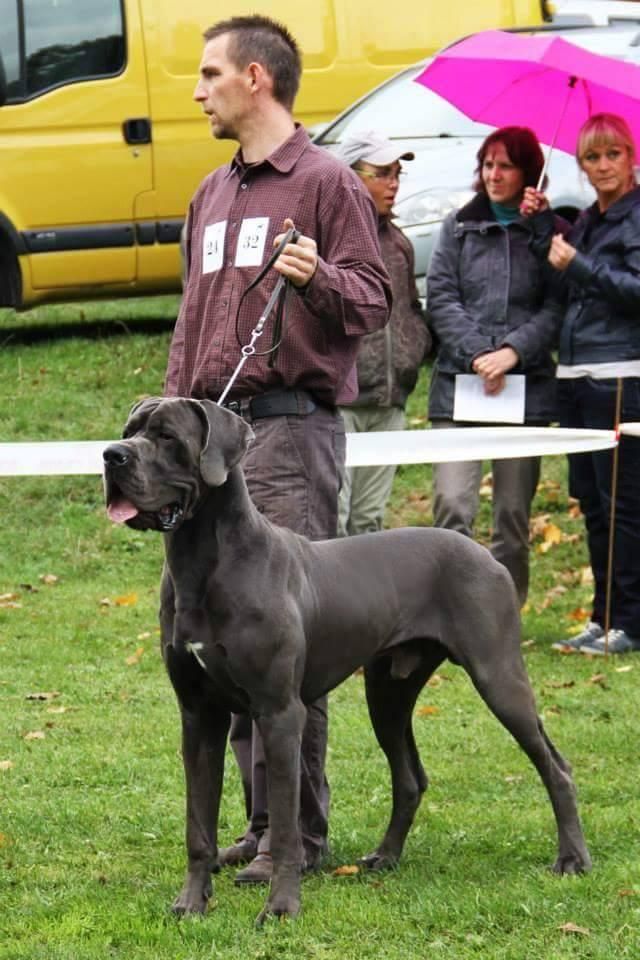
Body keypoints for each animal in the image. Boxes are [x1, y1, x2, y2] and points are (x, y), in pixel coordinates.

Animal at [103, 396, 591, 925]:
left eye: (167, 436)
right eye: (129, 430)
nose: (111, 455)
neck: (202, 561)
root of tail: (485, 554)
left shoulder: (279, 713)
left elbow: (288, 829)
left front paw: (281, 907)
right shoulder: (198, 715)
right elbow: (198, 824)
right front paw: (192, 902)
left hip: (498, 675)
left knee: (555, 766)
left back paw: (572, 858)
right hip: (388, 693)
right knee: (410, 778)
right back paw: (386, 856)